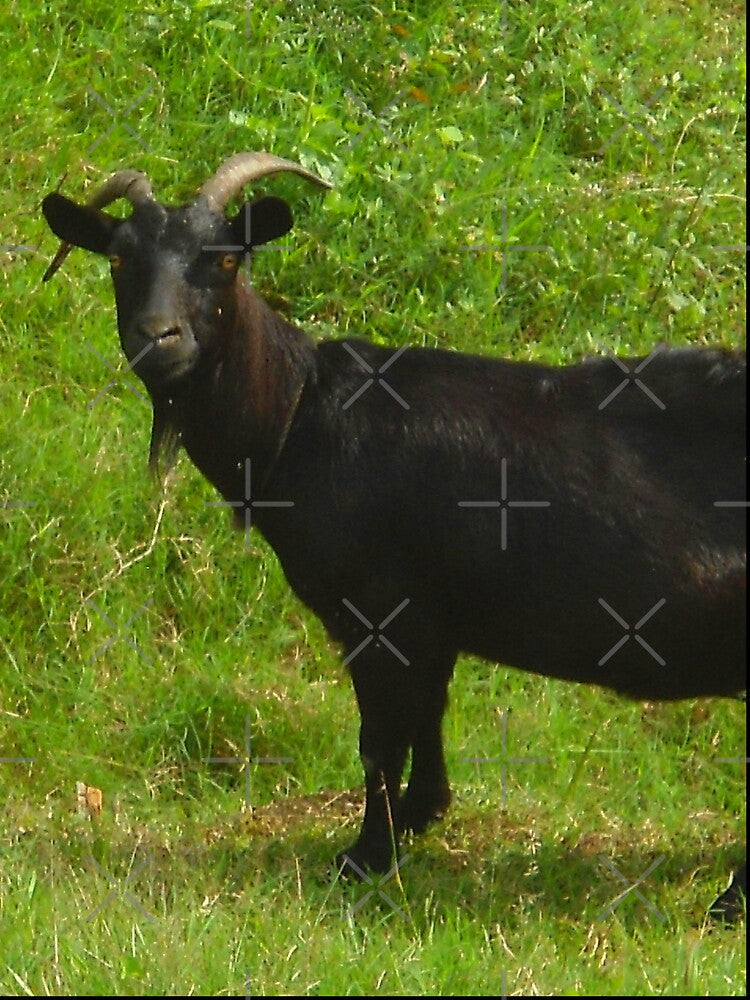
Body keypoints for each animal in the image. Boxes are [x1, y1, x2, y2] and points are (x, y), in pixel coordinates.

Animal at [42, 153, 746, 919]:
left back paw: (728, 902)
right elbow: (427, 715)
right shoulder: (431, 617)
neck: (300, 414)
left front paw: (363, 858)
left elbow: (379, 738)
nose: (157, 338)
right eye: (118, 258)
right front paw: (420, 816)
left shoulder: (377, 610)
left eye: (225, 260)